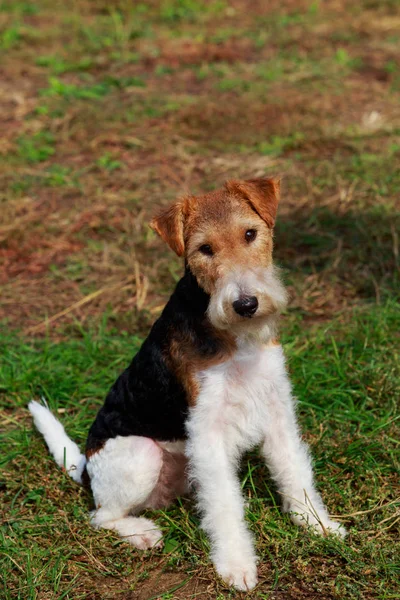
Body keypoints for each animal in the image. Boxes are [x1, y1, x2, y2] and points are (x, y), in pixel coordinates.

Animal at [29, 177, 346, 592]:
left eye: (250, 233)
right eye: (204, 249)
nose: (246, 304)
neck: (233, 337)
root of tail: (86, 467)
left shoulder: (277, 408)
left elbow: (295, 472)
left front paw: (319, 526)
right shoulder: (208, 430)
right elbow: (225, 504)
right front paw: (236, 566)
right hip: (141, 454)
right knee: (100, 517)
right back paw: (143, 533)